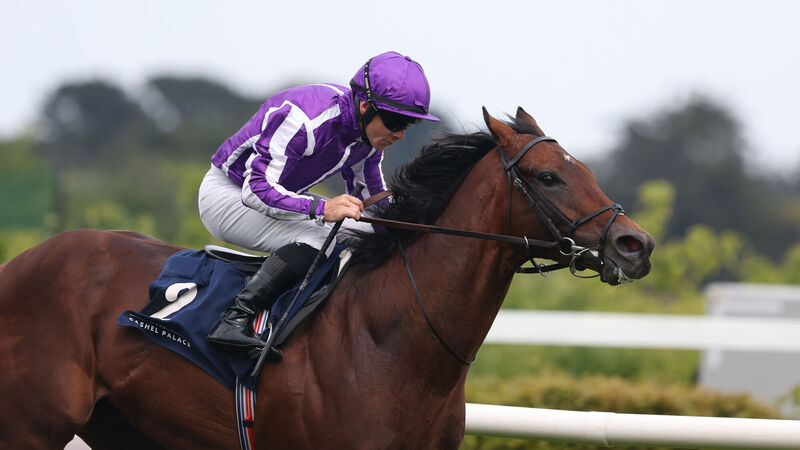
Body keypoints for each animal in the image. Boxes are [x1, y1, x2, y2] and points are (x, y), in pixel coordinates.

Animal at [0, 108, 654, 449]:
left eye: (585, 167)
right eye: (548, 177)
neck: (393, 340)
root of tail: (21, 264)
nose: (636, 245)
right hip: (33, 424)